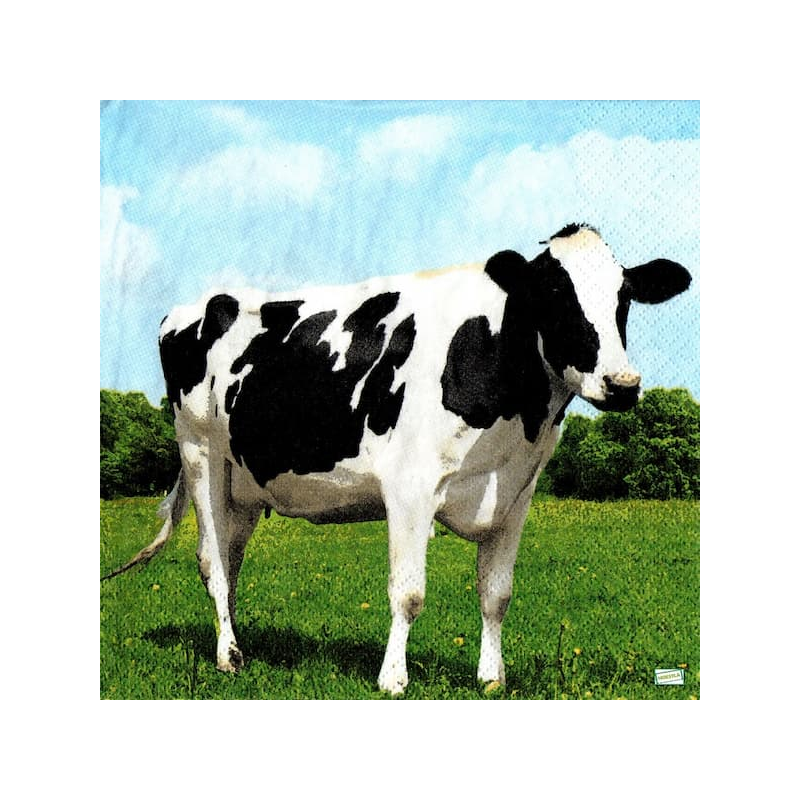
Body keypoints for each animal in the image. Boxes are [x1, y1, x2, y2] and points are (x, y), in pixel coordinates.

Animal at [102, 223, 691, 695]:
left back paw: (239, 642)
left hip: (243, 484)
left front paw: (492, 678)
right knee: (212, 561)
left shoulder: (515, 495)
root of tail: (192, 306)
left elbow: (497, 594)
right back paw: (228, 656)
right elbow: (408, 593)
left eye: (624, 297)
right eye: (554, 294)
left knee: (231, 556)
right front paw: (392, 679)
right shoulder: (410, 488)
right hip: (201, 453)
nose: (622, 384)